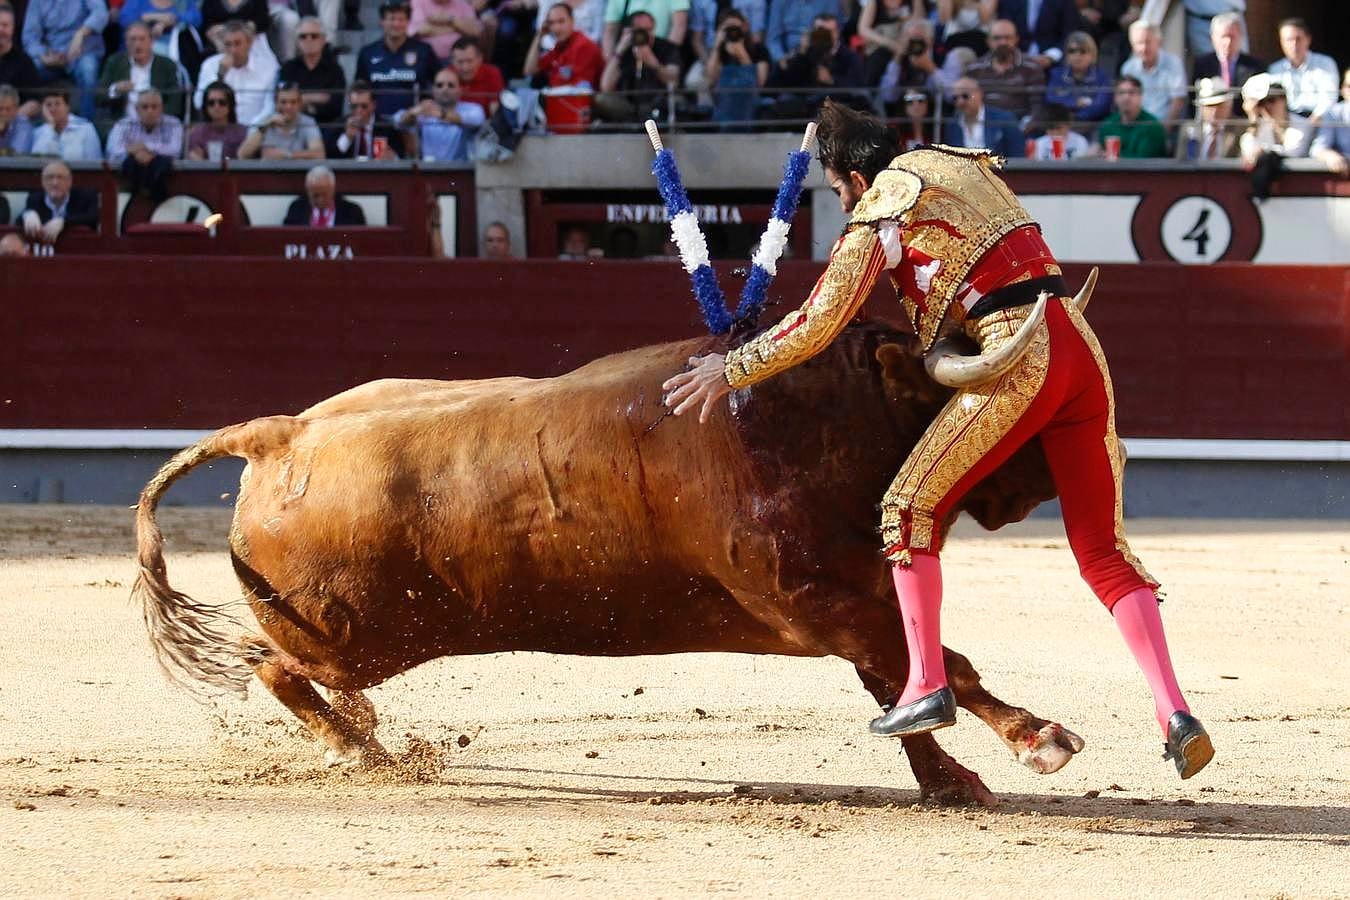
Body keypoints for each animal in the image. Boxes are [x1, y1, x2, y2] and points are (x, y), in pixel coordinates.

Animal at [134, 323, 1085, 809]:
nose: (1054, 475)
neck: (814, 418)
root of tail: (279, 434)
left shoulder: (851, 602)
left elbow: (903, 686)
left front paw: (954, 782)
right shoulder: (826, 602)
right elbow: (940, 668)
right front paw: (1039, 740)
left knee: (286, 672)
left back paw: (364, 736)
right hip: (353, 638)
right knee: (273, 667)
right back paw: (362, 749)